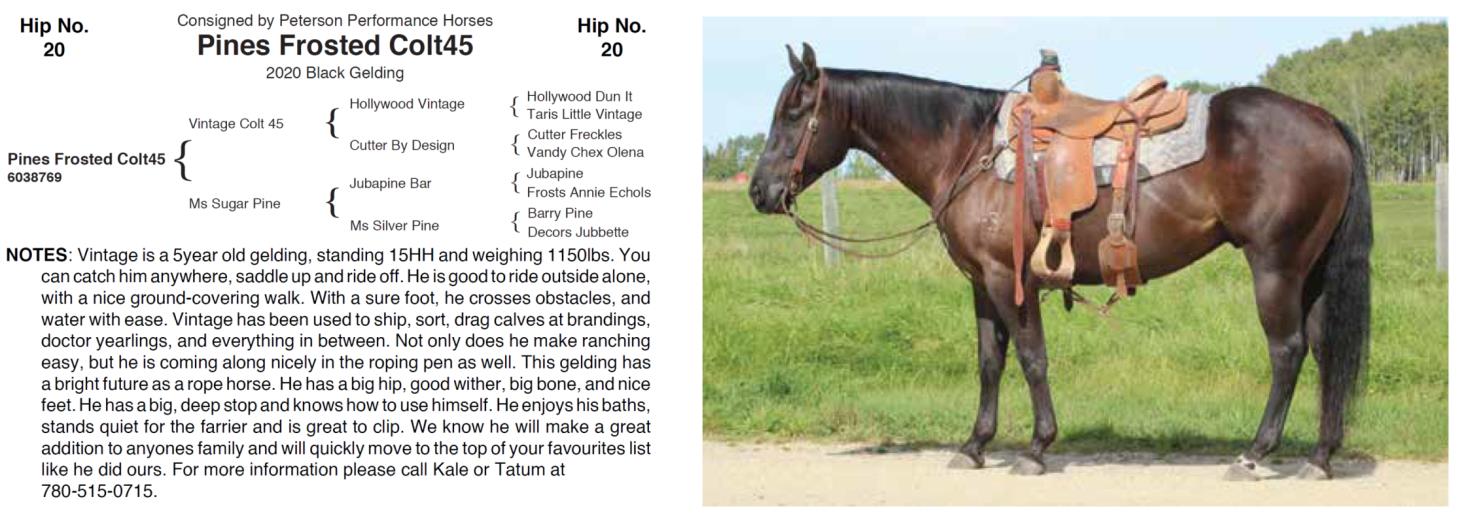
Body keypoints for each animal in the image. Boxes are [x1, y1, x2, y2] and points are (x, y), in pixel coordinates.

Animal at [747, 43, 1371, 480]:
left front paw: (1037, 448)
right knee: (1324, 352)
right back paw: (1320, 456)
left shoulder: (1011, 278)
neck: (967, 149)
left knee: (1287, 352)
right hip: (1311, 273)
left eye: (793, 113)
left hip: (1276, 268)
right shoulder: (981, 284)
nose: (759, 191)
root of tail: (1324, 122)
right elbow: (990, 362)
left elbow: (1031, 359)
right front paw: (975, 445)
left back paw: (1255, 453)